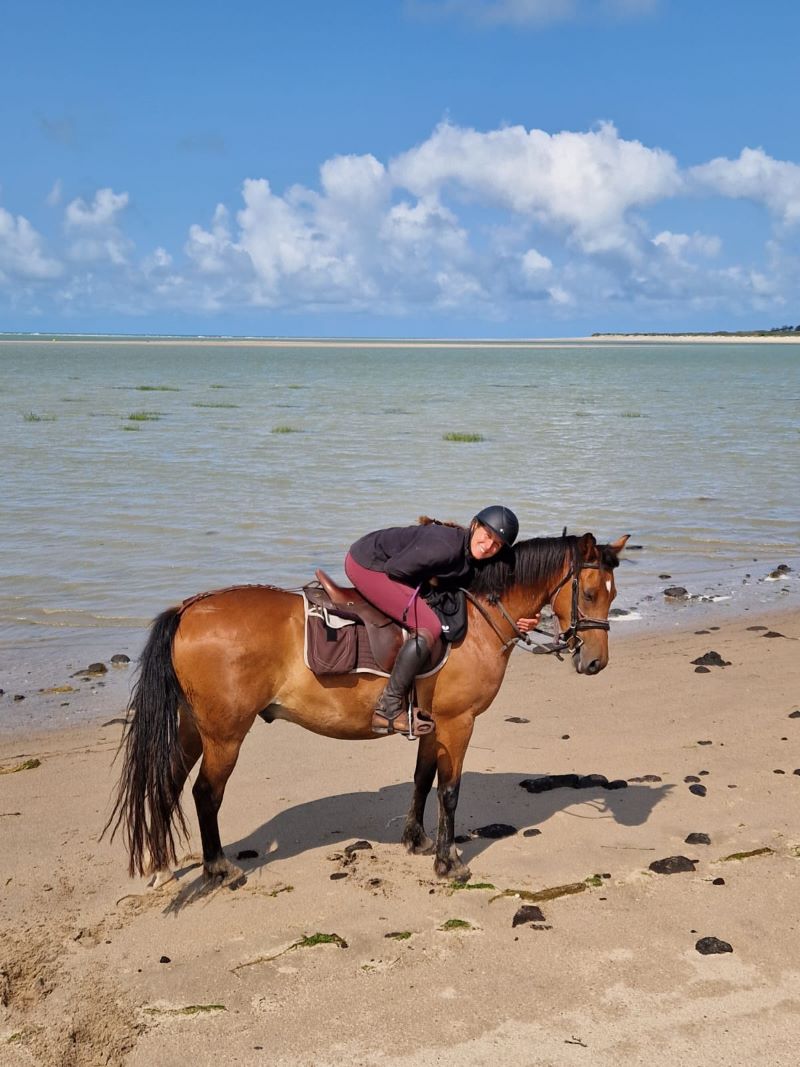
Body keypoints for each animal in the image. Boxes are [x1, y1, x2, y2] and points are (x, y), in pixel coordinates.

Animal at [105, 530, 629, 886]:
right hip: (225, 735)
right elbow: (449, 791)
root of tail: (189, 608)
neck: (478, 618)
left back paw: (163, 863)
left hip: (194, 728)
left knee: (169, 784)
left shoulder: (432, 725)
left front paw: (417, 840)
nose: (596, 662)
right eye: (589, 592)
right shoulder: (458, 724)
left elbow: (422, 779)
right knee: (204, 793)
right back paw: (217, 866)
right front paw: (448, 862)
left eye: (614, 593)